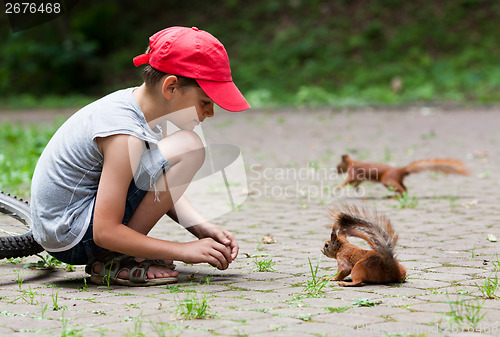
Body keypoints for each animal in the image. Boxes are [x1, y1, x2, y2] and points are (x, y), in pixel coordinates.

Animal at [336, 153, 468, 194]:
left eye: (338, 166)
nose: (336, 171)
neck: (352, 162)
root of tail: (401, 170)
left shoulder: (352, 172)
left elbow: (347, 181)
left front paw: (338, 187)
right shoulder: (358, 177)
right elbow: (356, 182)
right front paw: (356, 188)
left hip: (387, 181)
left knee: (402, 190)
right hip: (396, 180)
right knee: (405, 189)